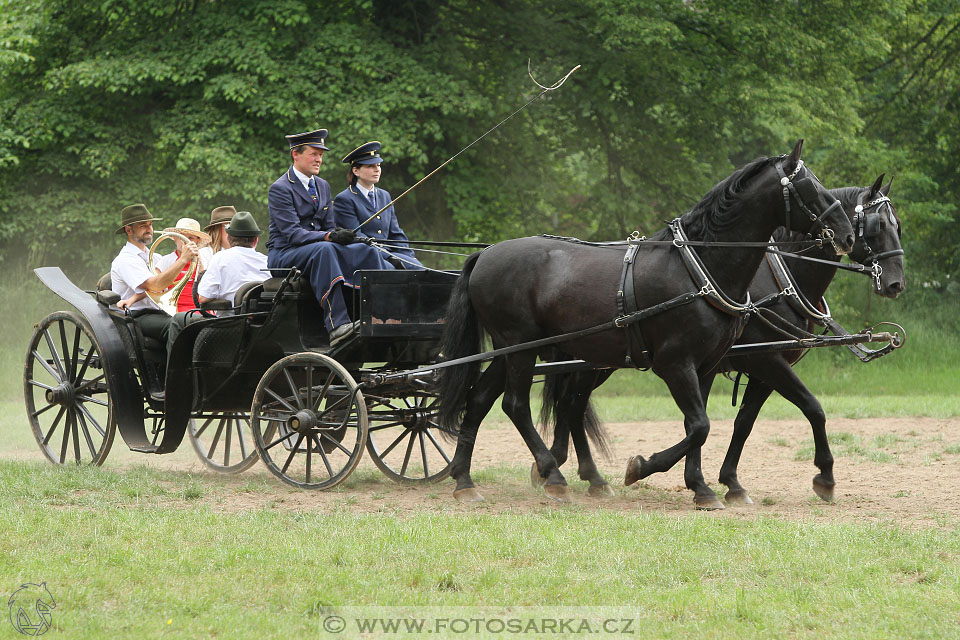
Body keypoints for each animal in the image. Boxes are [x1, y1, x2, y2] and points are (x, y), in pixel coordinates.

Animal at [436, 141, 856, 510]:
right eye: (809, 186)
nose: (847, 233)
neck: (699, 268)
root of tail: (486, 253)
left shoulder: (706, 366)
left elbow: (701, 426)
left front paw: (701, 488)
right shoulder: (679, 363)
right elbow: (701, 426)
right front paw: (642, 468)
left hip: (514, 350)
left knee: (481, 400)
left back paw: (465, 482)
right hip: (521, 346)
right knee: (515, 404)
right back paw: (553, 476)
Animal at [544, 175, 904, 504]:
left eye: (897, 225)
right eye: (877, 225)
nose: (896, 283)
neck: (780, 280)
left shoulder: (761, 371)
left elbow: (743, 423)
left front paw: (730, 482)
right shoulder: (765, 360)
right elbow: (813, 408)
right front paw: (825, 476)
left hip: (597, 361)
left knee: (571, 406)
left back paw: (578, 473)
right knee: (571, 405)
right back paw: (567, 470)